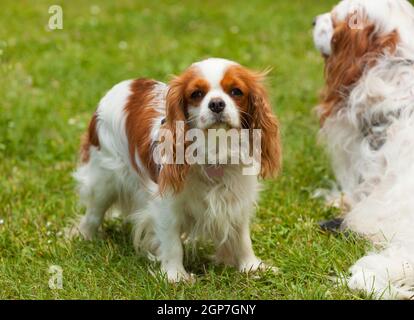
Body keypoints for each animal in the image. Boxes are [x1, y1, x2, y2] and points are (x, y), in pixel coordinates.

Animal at [73, 58, 282, 282]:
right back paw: (82, 236)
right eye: (196, 94)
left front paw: (252, 267)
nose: (217, 104)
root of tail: (127, 85)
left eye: (236, 91)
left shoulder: (236, 197)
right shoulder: (165, 203)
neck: (215, 149)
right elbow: (171, 242)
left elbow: (242, 236)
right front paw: (176, 276)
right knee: (93, 214)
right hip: (103, 179)